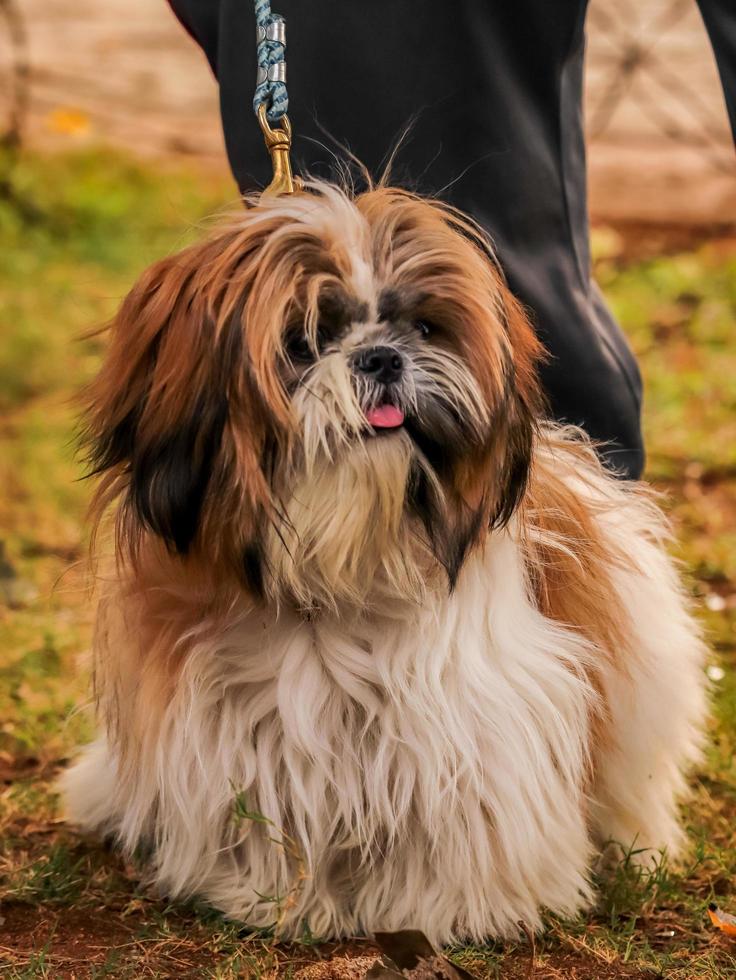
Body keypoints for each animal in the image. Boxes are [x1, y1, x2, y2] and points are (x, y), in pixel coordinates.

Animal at [61, 182, 708, 940]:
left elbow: (468, 816)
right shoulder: (233, 720)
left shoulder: (471, 711)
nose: (381, 358)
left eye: (423, 330)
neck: (344, 566)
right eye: (304, 342)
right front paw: (267, 896)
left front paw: (456, 907)